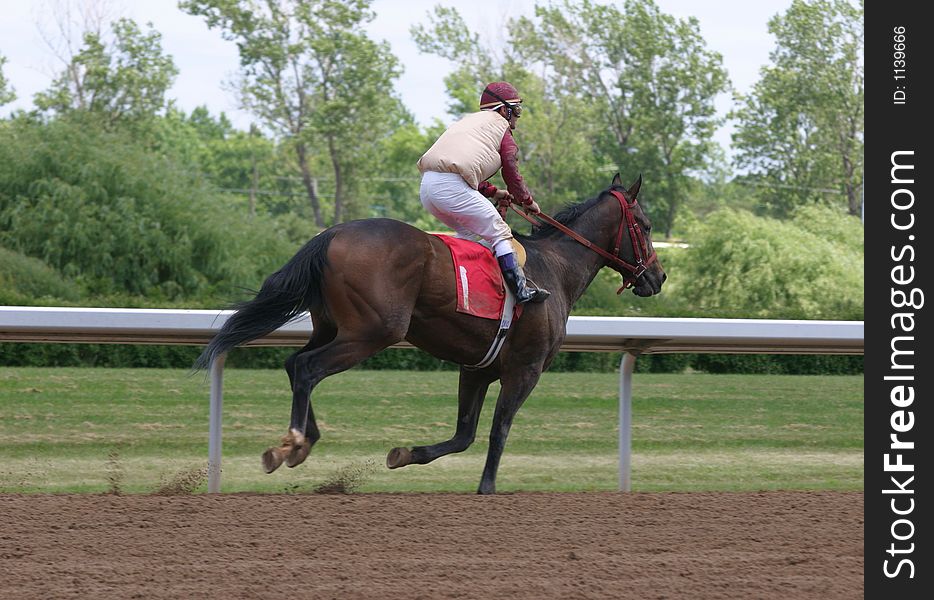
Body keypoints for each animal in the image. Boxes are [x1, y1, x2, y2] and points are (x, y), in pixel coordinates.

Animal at [196, 172, 664, 492]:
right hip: (372, 331)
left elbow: (464, 434)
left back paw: (302, 442)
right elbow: (497, 431)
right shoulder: (525, 370)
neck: (556, 268)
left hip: (331, 326)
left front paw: (404, 454)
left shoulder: (476, 369)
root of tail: (331, 233)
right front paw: (487, 487)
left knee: (294, 363)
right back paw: (293, 442)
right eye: (645, 225)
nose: (658, 277)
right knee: (308, 368)